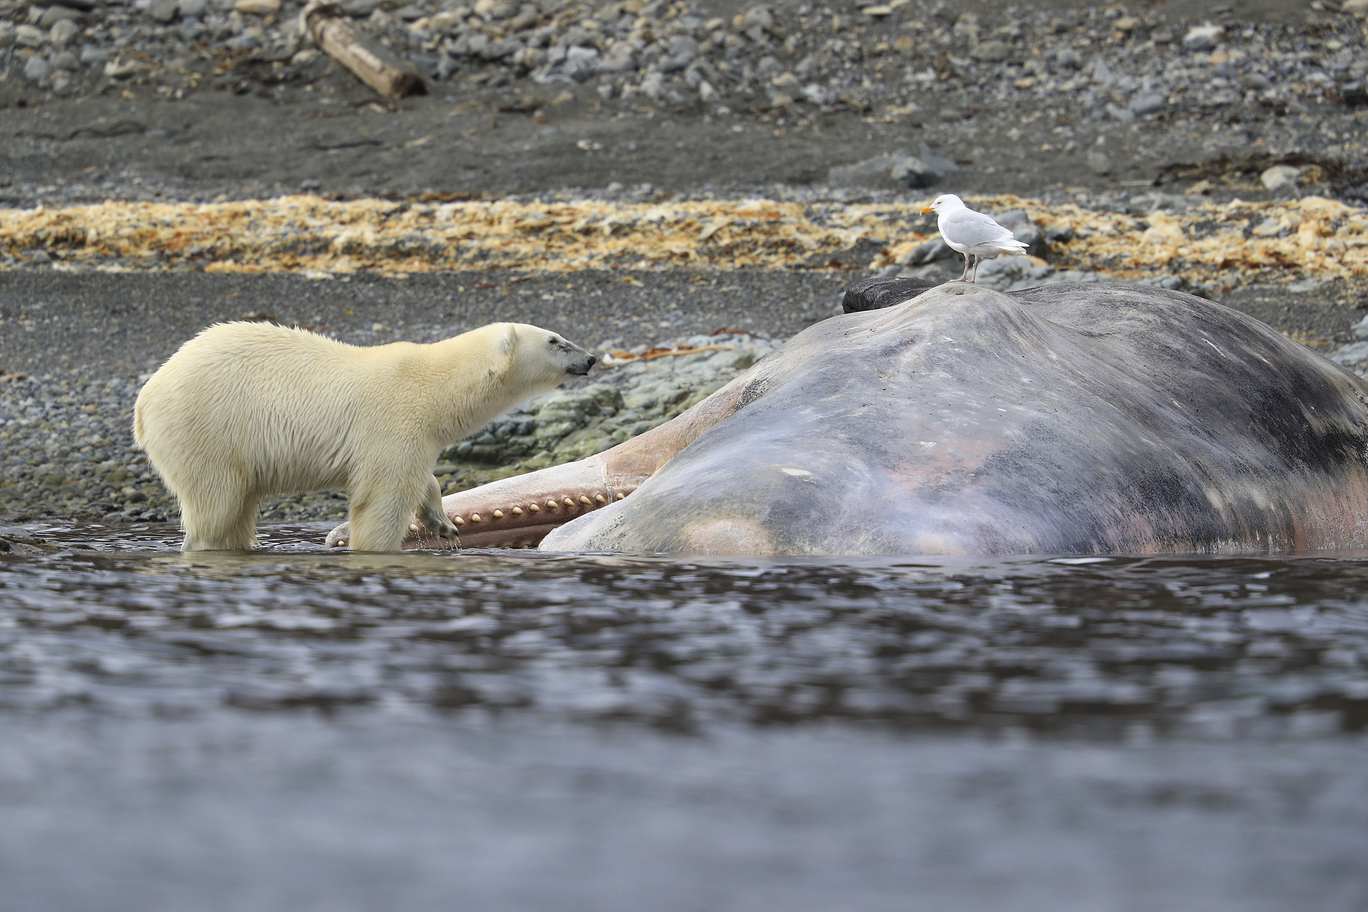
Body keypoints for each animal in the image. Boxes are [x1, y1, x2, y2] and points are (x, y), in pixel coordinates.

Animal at [132, 319, 593, 549]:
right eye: (555, 340)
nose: (590, 358)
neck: (435, 385)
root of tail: (145, 399)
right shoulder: (393, 419)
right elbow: (382, 499)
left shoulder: (416, 437)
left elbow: (421, 476)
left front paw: (442, 522)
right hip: (208, 430)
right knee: (217, 506)